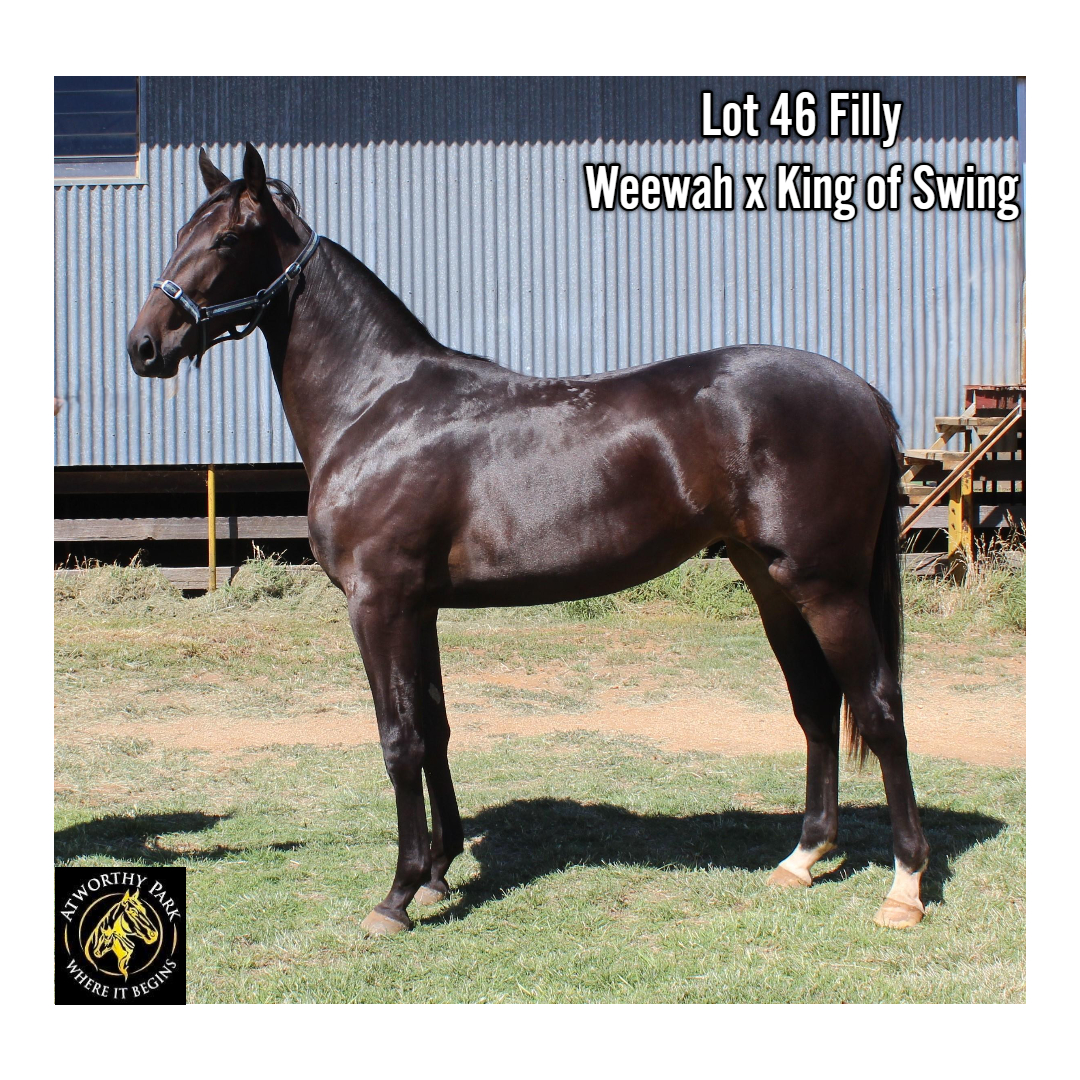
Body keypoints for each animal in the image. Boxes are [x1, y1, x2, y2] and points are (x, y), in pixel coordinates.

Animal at [127, 143, 929, 937]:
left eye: (228, 239)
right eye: (180, 233)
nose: (144, 345)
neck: (376, 407)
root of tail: (867, 396)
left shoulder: (378, 601)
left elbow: (399, 738)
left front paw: (397, 894)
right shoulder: (419, 606)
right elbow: (436, 727)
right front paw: (439, 874)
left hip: (826, 587)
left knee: (879, 709)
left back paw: (905, 886)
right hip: (771, 583)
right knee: (816, 705)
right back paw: (803, 858)